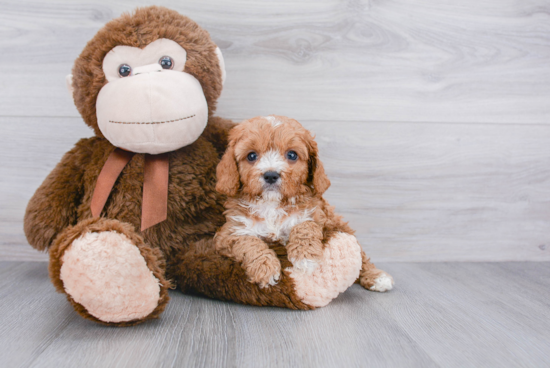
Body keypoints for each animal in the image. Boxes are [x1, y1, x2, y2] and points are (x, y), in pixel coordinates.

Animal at [213, 114, 394, 290]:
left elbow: (305, 226)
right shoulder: (230, 233)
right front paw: (266, 269)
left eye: (292, 155)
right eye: (251, 156)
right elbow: (249, 243)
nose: (271, 175)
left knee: (361, 254)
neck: (272, 204)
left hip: (339, 225)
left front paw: (305, 258)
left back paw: (377, 277)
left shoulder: (319, 217)